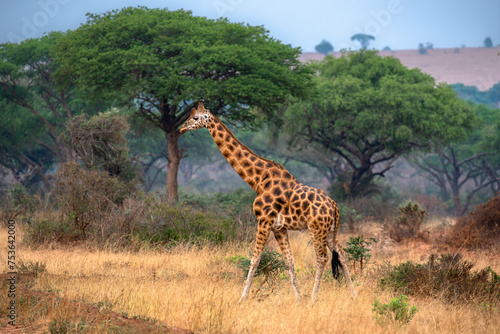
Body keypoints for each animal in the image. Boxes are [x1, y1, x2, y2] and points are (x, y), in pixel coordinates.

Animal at [180, 99, 356, 302]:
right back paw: (353, 294)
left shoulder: (264, 221)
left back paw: (314, 298)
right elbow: (289, 260)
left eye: (195, 117)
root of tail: (335, 206)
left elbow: (255, 258)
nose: (181, 128)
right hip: (330, 230)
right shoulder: (279, 227)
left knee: (322, 258)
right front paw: (298, 297)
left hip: (317, 228)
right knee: (341, 254)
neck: (258, 180)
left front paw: (242, 298)